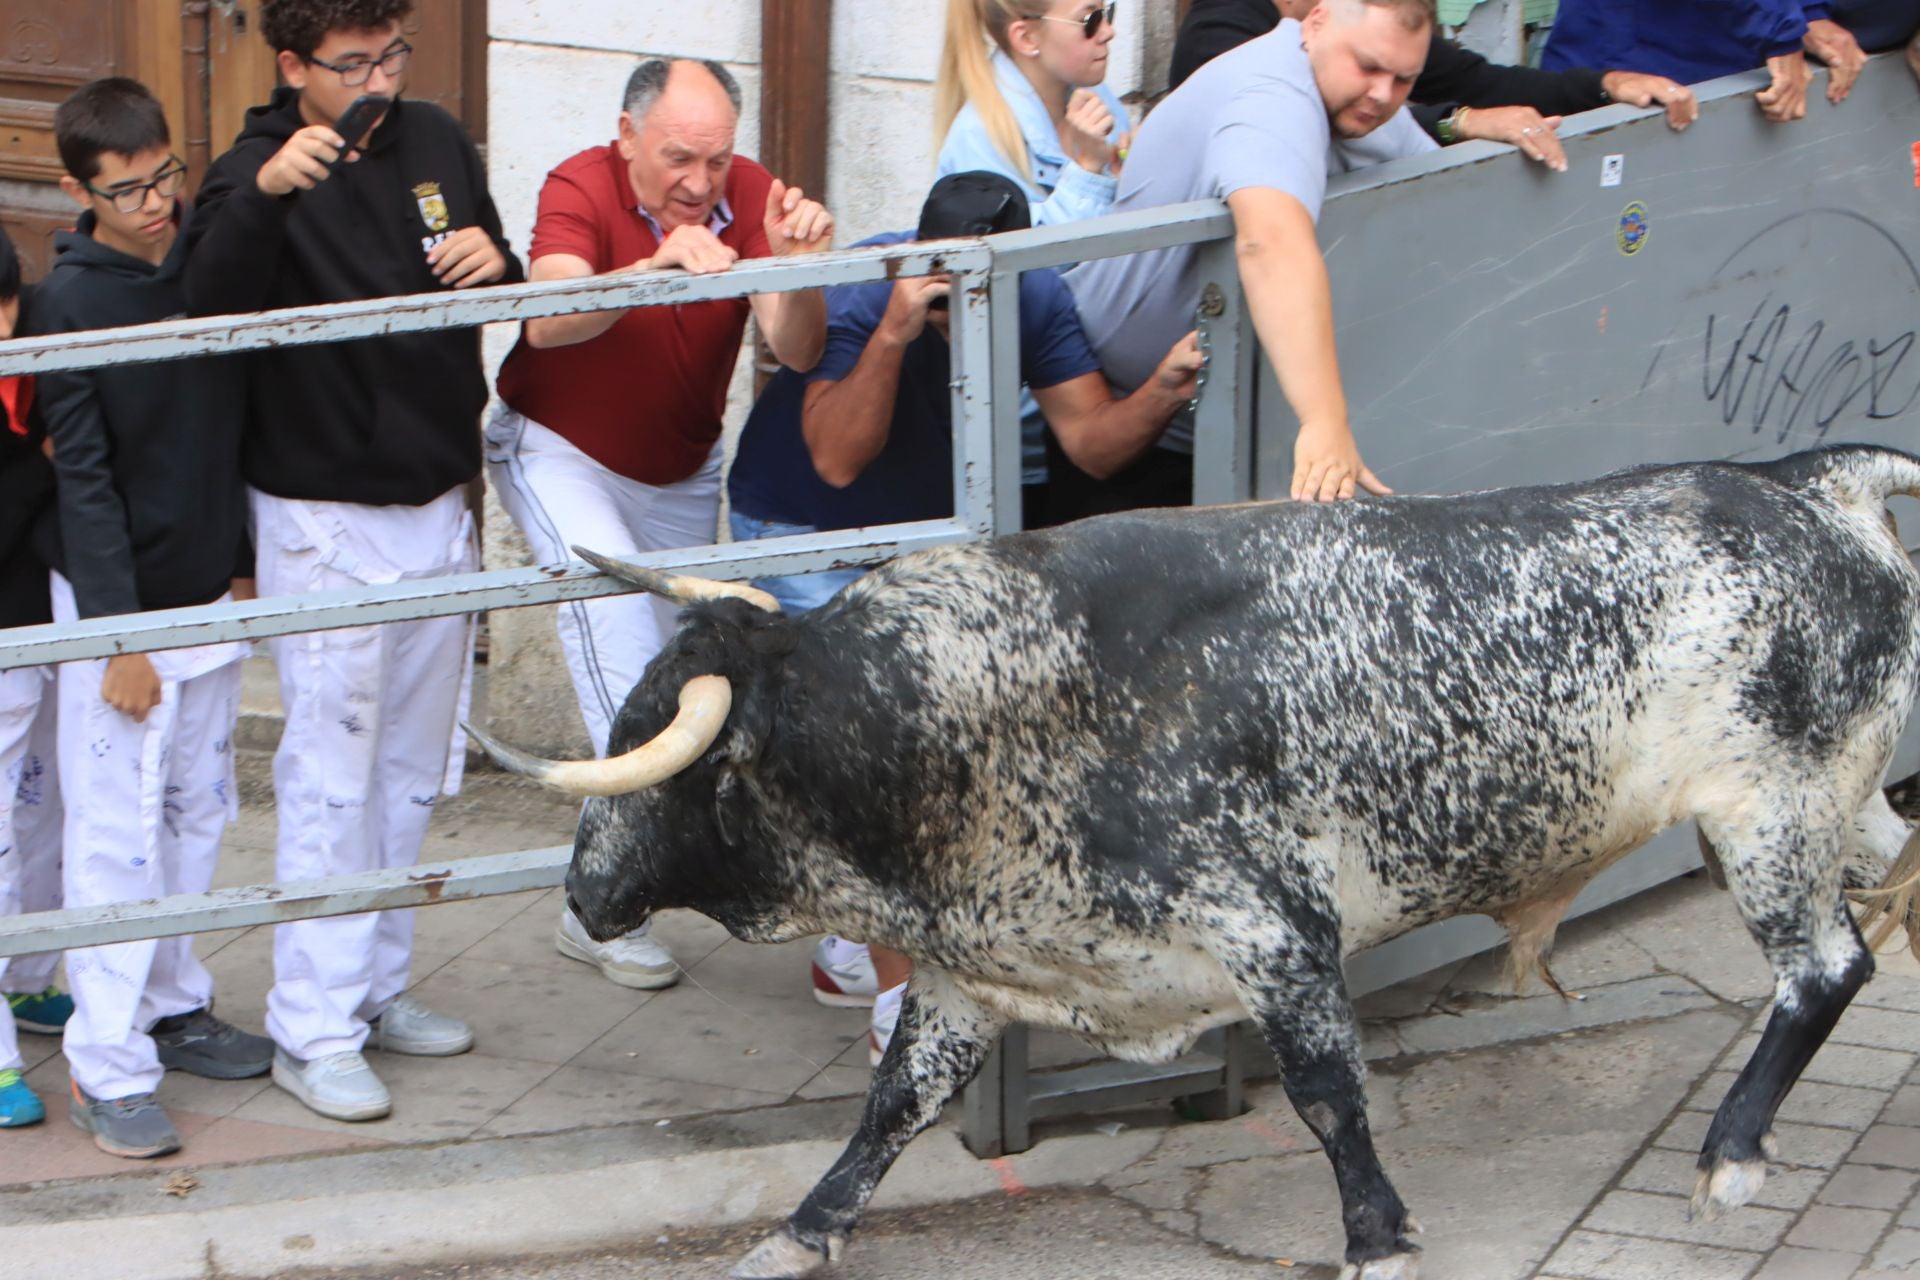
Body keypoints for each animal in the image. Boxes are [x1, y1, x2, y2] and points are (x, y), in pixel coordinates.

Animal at [468, 445, 1920, 1274]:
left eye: (667, 760)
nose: (583, 891)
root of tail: (1813, 483)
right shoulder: (966, 976)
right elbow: (891, 1109)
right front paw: (799, 1232)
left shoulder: (1278, 933)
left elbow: (1331, 1095)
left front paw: (1377, 1238)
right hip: (1842, 805)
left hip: (1771, 815)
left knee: (1824, 967)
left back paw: (1730, 1152)